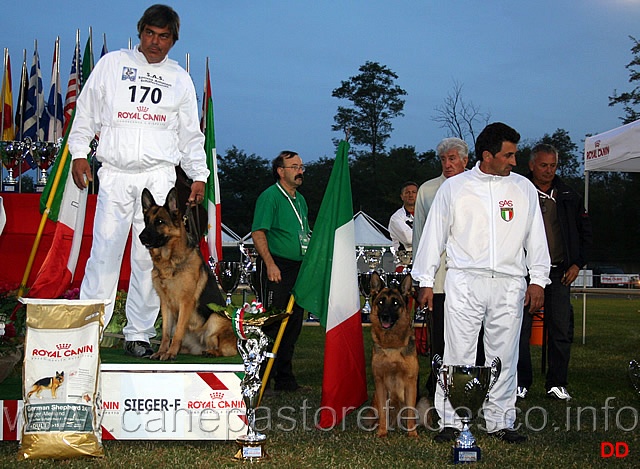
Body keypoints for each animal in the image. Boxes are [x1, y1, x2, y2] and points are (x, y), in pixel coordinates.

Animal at [140, 188, 238, 360]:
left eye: (160, 222)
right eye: (146, 221)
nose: (141, 237)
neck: (170, 261)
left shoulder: (185, 302)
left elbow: (177, 332)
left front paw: (170, 353)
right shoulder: (165, 304)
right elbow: (166, 334)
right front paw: (162, 352)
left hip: (214, 318)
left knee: (224, 350)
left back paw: (212, 352)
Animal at [370, 272, 420, 436]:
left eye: (396, 303)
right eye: (380, 302)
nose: (385, 316)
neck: (392, 346)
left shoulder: (410, 383)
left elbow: (410, 412)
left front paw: (412, 434)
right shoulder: (379, 382)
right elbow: (383, 411)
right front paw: (382, 432)